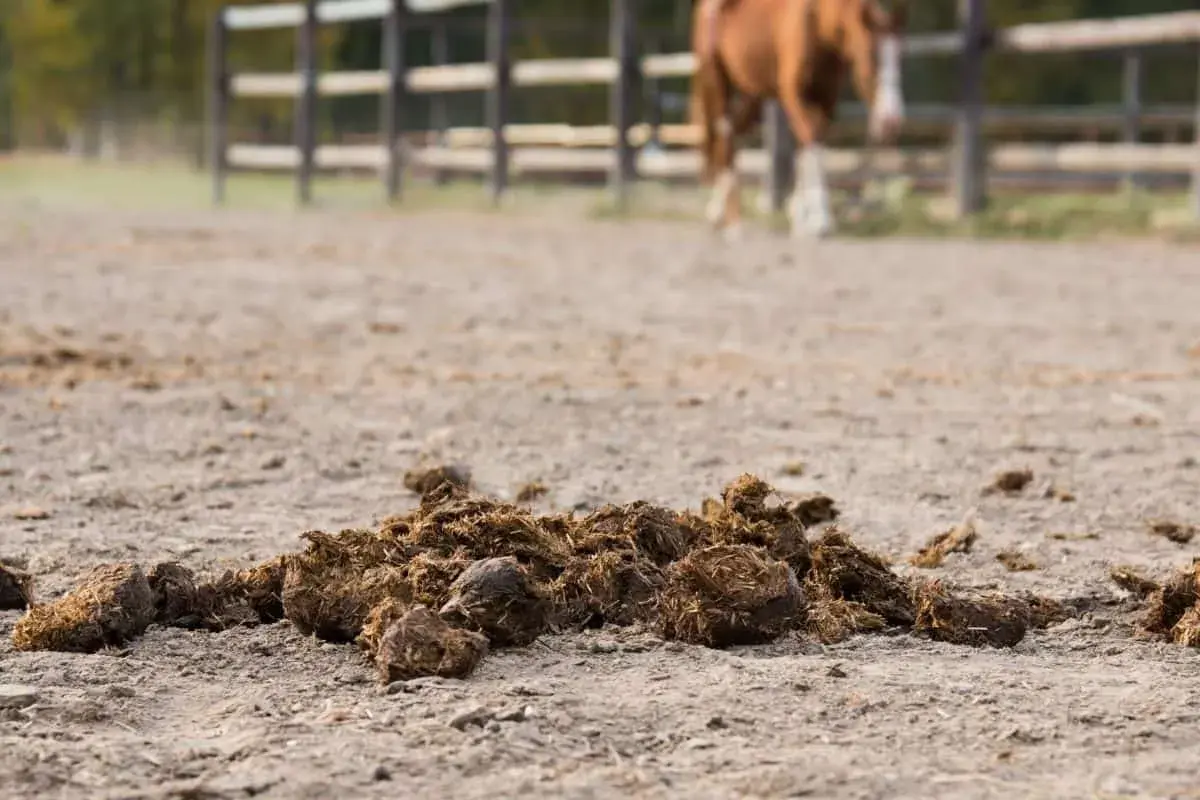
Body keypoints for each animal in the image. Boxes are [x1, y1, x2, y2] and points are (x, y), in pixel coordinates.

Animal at [689, 0, 909, 239]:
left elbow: (809, 147)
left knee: (730, 136)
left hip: (753, 94)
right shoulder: (793, 97)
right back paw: (734, 224)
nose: (892, 120)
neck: (819, 27)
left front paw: (800, 216)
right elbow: (811, 144)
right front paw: (820, 221)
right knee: (725, 135)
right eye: (872, 57)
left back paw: (716, 210)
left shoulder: (826, 101)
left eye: (899, 58)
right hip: (716, 81)